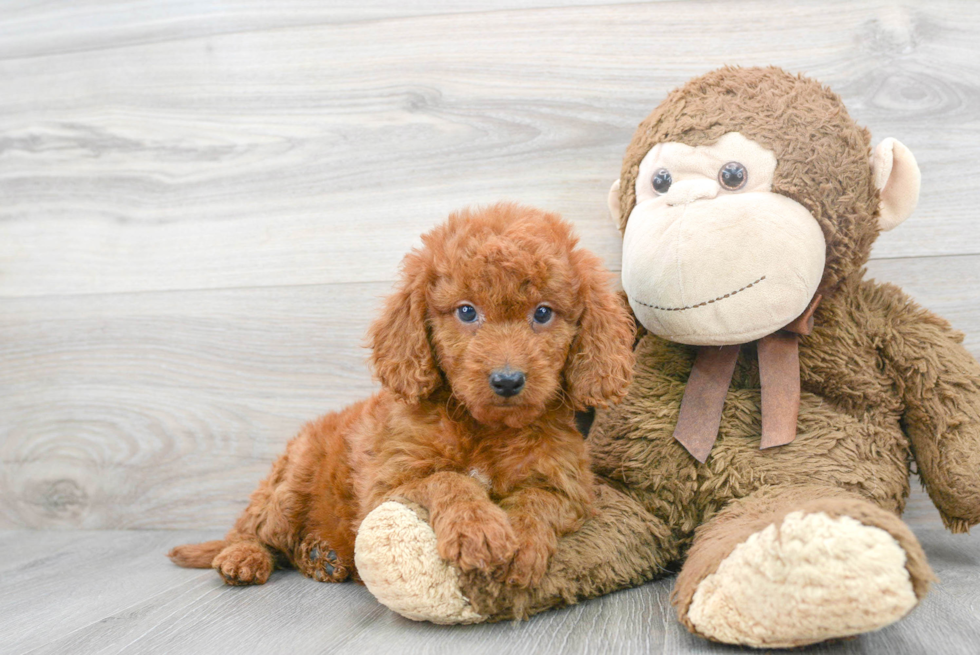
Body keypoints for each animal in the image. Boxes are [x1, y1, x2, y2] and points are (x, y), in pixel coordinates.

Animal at [168, 202, 636, 588]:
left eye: (542, 313)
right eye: (467, 311)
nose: (507, 380)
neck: (485, 426)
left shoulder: (569, 488)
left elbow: (538, 499)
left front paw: (519, 543)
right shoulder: (388, 484)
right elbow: (447, 478)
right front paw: (479, 529)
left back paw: (321, 556)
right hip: (289, 484)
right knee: (254, 530)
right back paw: (244, 557)